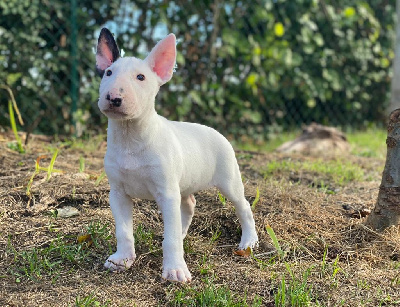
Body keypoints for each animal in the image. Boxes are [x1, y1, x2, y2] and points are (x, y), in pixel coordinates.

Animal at [97, 28, 260, 284]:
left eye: (141, 77)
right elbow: (123, 231)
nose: (113, 97)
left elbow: (170, 237)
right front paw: (122, 260)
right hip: (183, 184)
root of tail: (216, 132)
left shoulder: (166, 192)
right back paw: (183, 233)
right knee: (189, 205)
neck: (130, 136)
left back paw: (249, 241)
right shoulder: (118, 194)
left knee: (243, 207)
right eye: (108, 73)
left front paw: (175, 270)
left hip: (229, 181)